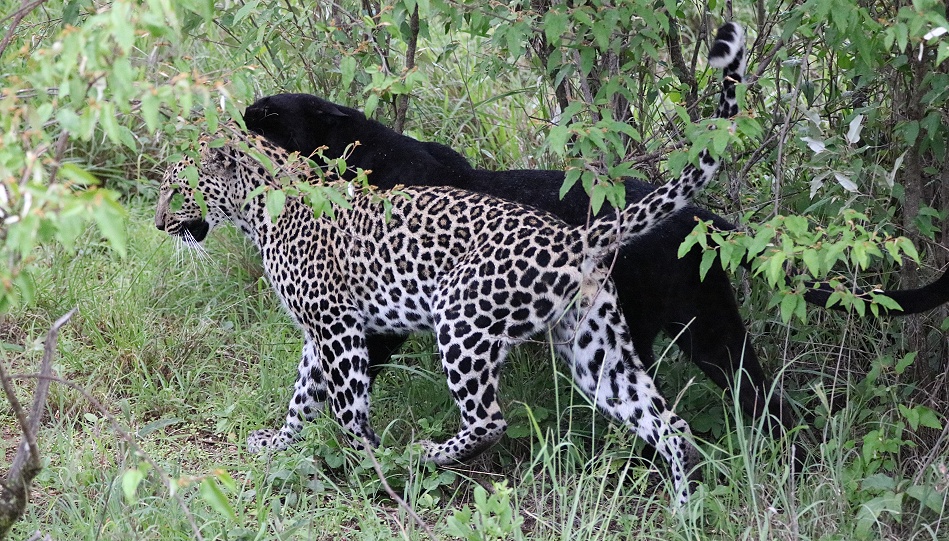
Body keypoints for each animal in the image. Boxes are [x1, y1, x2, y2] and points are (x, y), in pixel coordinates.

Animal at [155, 22, 747, 504]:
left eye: (176, 188)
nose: (158, 225)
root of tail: (576, 234)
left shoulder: (341, 328)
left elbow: (346, 404)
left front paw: (367, 462)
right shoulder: (320, 331)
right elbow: (303, 395)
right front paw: (280, 443)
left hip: (462, 319)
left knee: (490, 418)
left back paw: (425, 454)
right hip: (598, 349)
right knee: (671, 424)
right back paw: (684, 508)